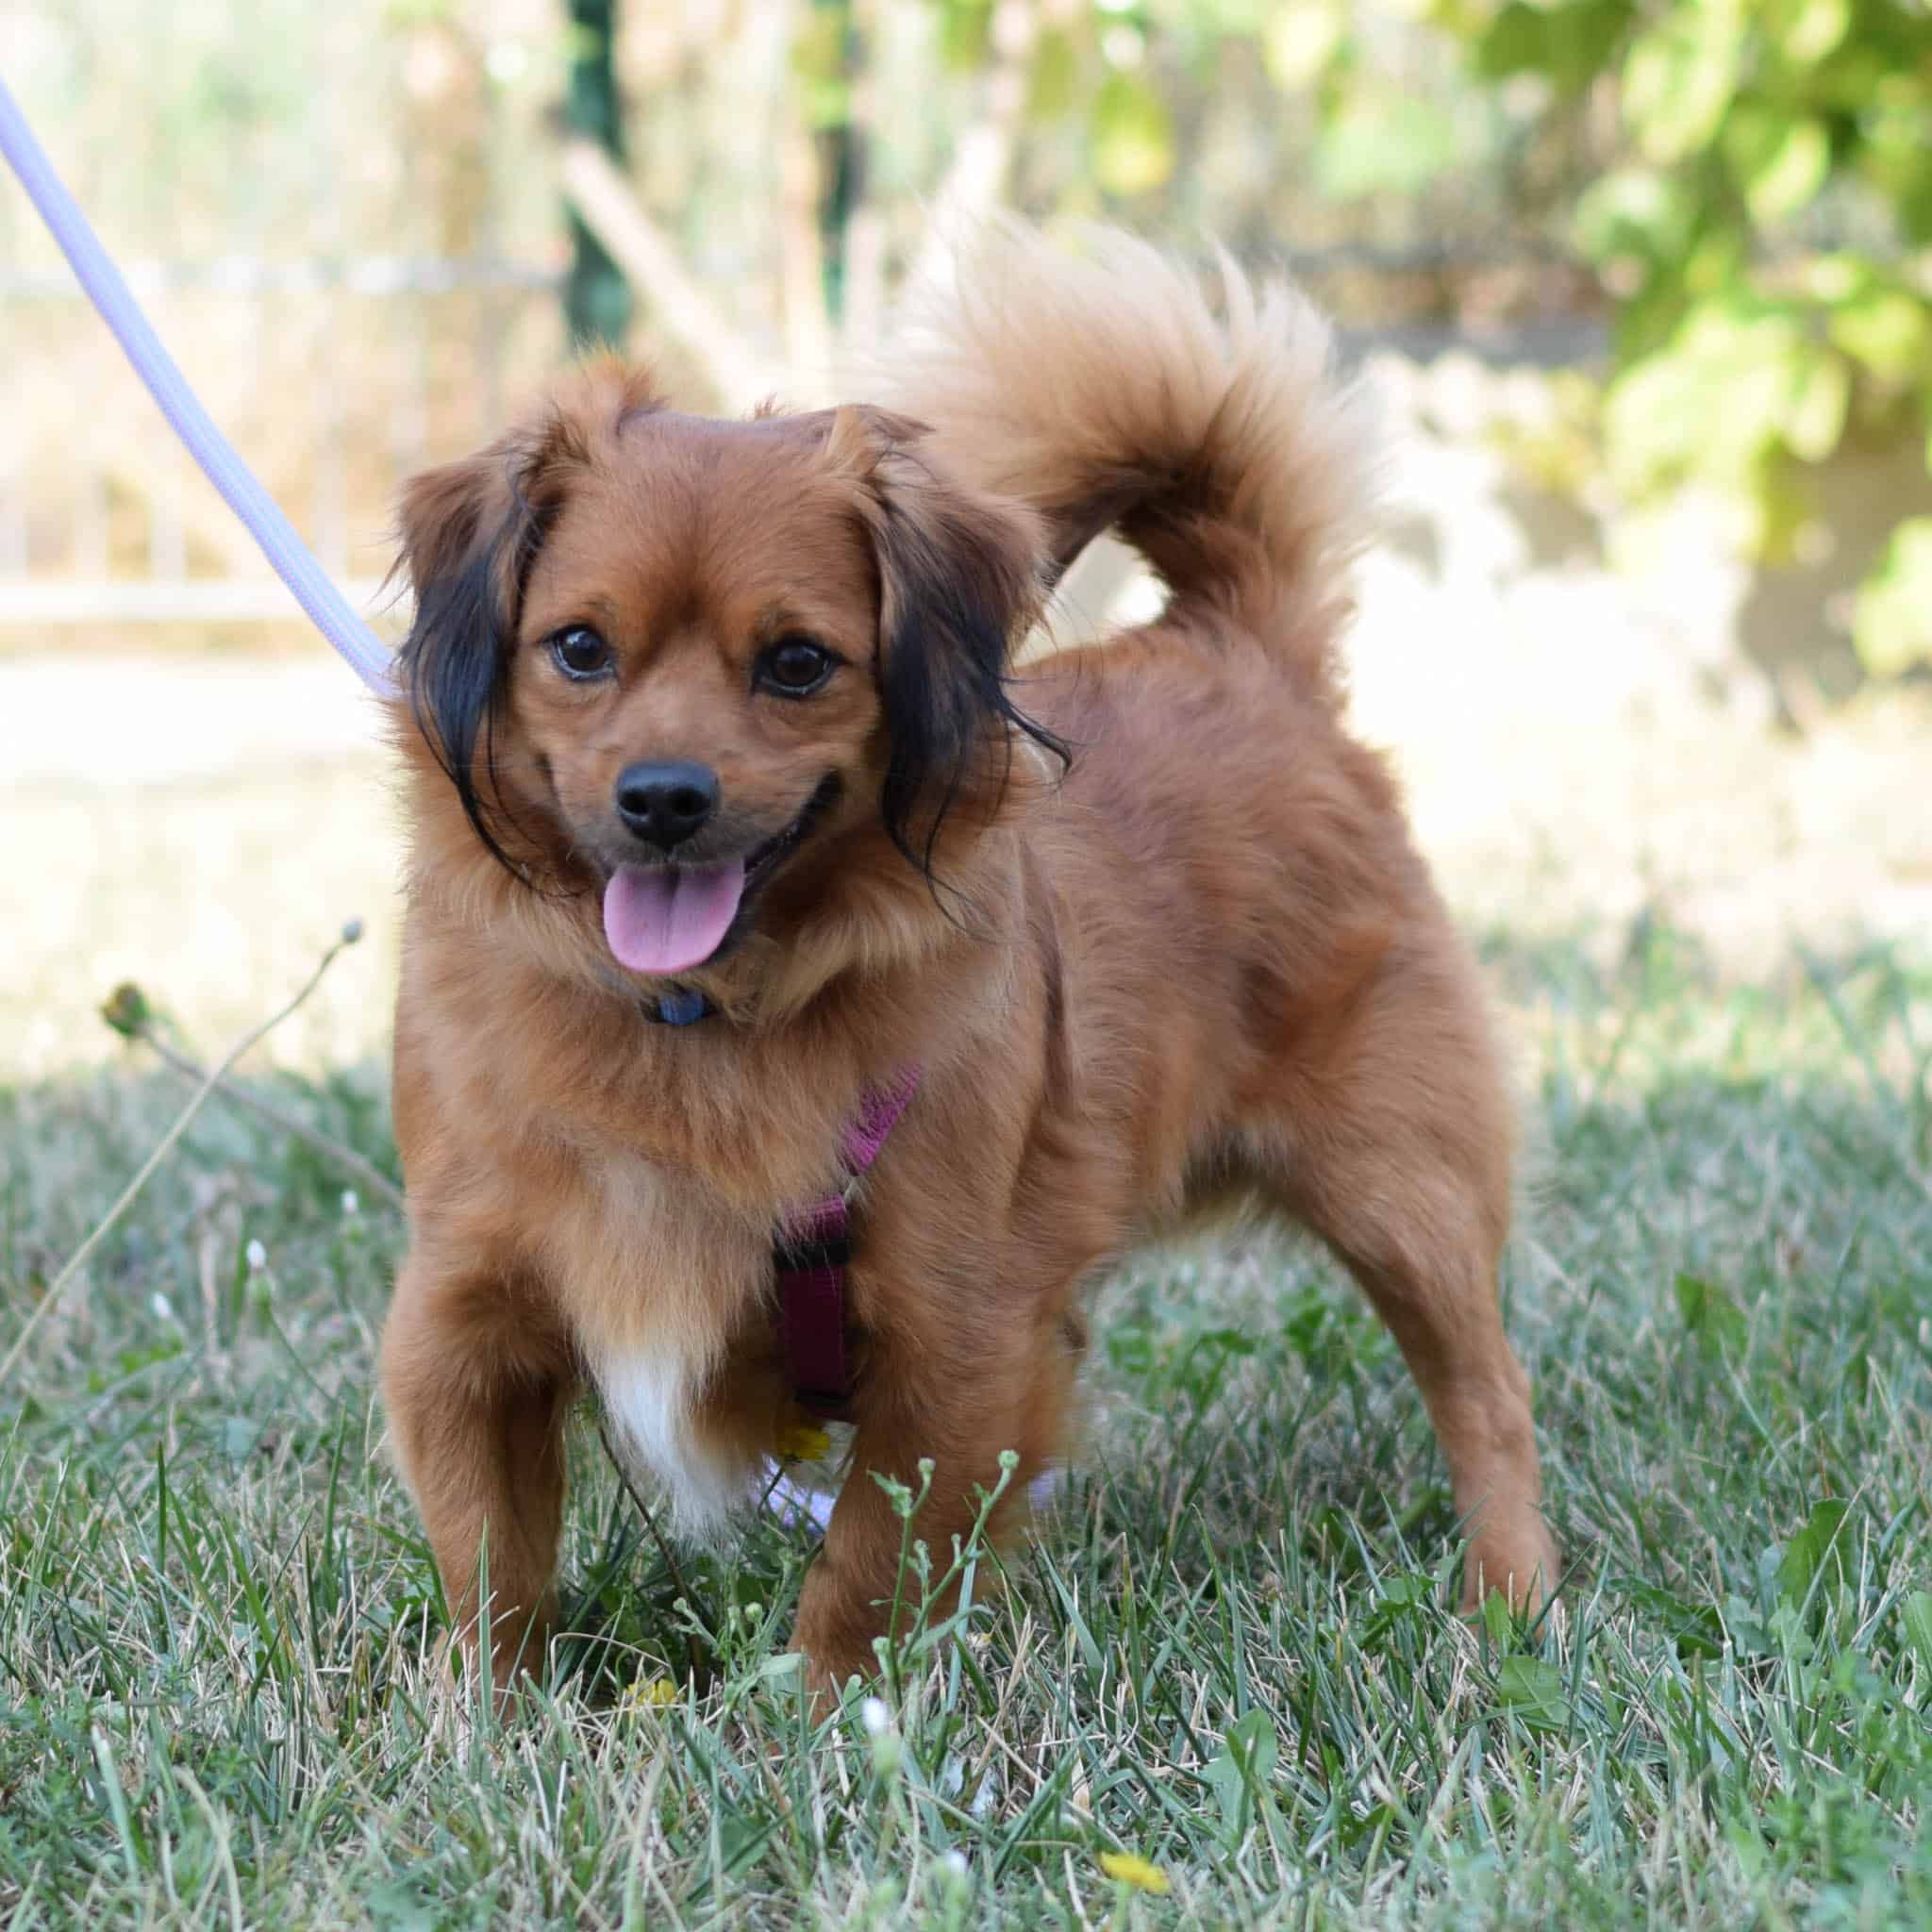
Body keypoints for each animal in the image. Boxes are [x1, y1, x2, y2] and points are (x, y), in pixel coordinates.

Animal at [376, 222, 1553, 1692]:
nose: (662, 798)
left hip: (1402, 1188)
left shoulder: (958, 1338)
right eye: (579, 648)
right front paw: (487, 1717)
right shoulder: (464, 1321)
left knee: (1485, 1394)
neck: (696, 1018)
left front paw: (825, 1718)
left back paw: (1509, 1599)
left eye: (797, 663)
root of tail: (1236, 643)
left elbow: (865, 1567)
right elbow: (492, 1566)